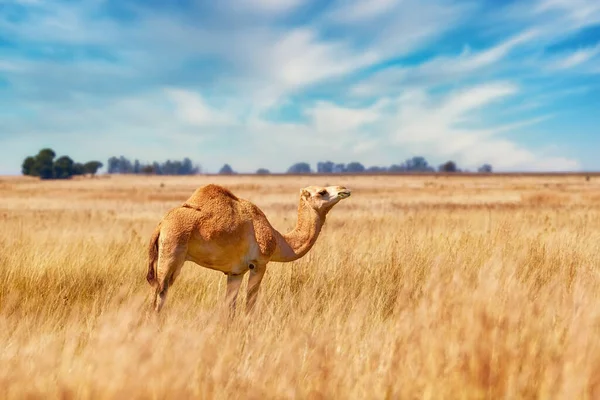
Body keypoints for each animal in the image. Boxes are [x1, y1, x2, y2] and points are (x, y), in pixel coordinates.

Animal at [146, 183, 352, 314]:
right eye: (322, 192)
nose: (344, 189)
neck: (278, 240)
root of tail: (161, 225)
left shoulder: (235, 272)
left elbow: (230, 307)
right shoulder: (258, 264)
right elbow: (249, 304)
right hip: (171, 255)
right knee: (160, 295)